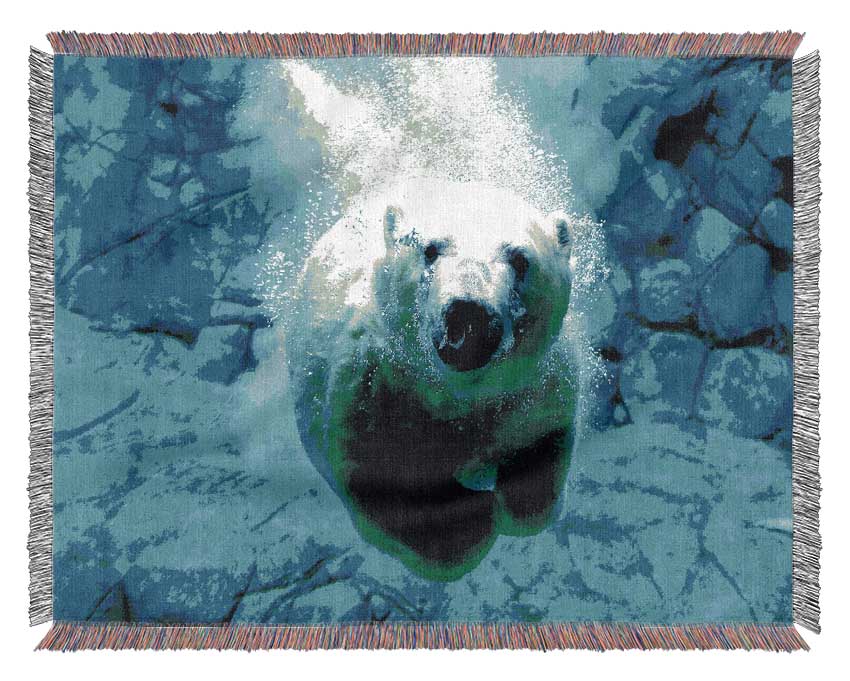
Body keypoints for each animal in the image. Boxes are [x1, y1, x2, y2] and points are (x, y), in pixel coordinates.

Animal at [286, 175, 578, 580]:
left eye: (520, 258)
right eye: (430, 249)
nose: (468, 312)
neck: (453, 395)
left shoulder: (536, 389)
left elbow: (541, 447)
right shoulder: (372, 397)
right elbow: (379, 484)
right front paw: (469, 519)